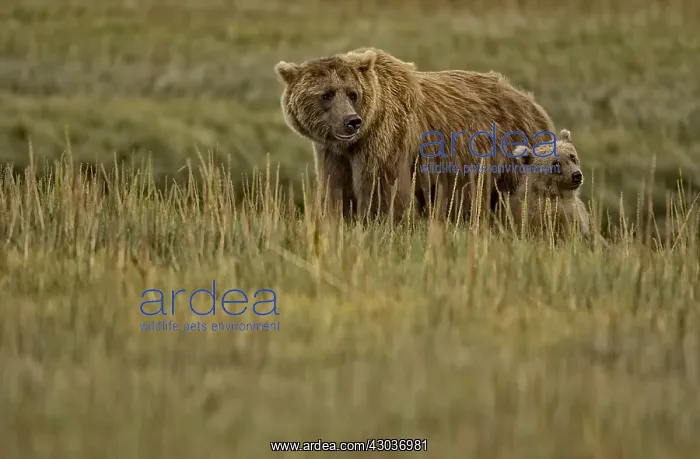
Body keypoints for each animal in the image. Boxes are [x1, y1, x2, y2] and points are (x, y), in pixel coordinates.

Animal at [274, 47, 556, 223]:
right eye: (327, 94)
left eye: (353, 93)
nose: (351, 121)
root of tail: (532, 103)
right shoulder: (333, 154)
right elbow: (336, 190)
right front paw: (338, 219)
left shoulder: (386, 139)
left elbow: (382, 189)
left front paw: (378, 222)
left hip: (511, 153)